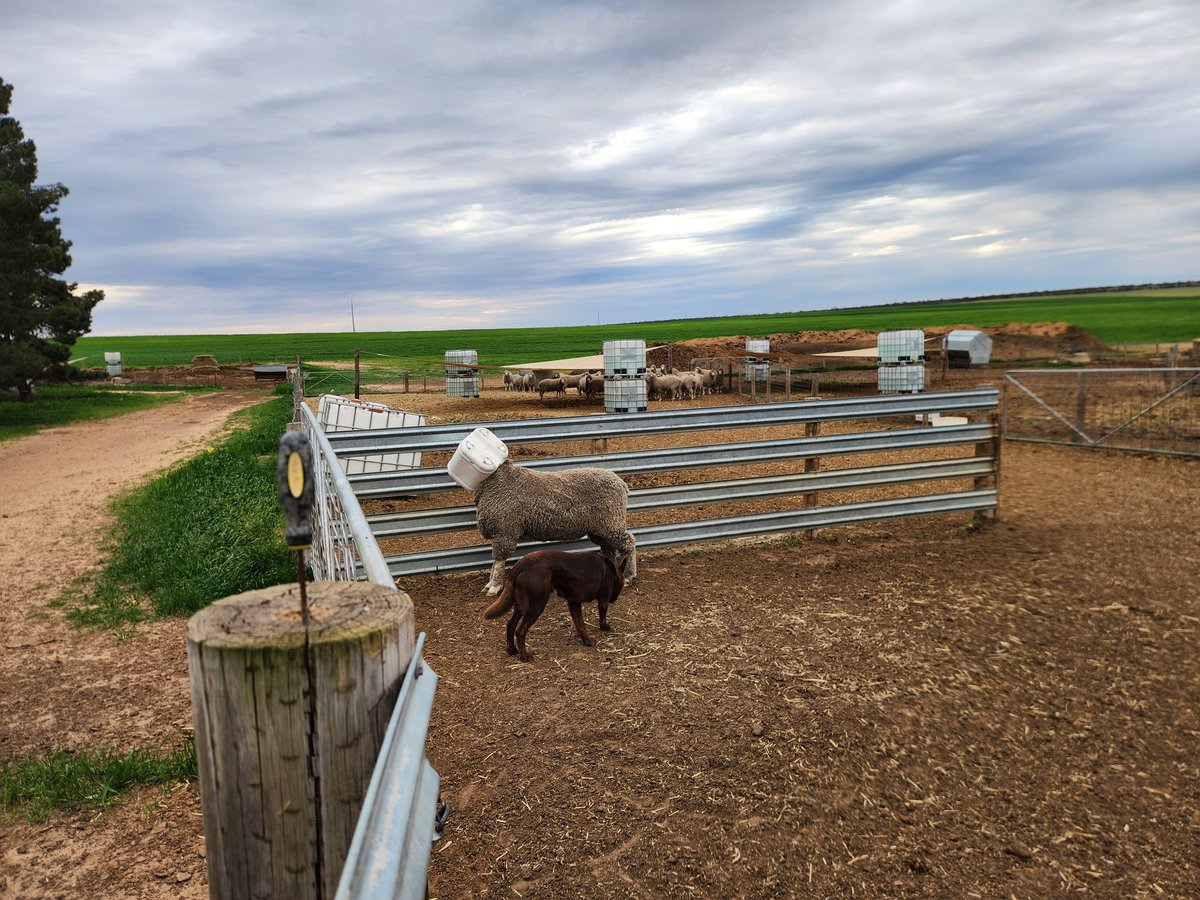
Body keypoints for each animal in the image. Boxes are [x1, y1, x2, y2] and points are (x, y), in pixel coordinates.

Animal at [473, 460, 637, 594]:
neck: (497, 483)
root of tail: (622, 483)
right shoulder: (499, 532)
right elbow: (495, 560)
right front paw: (490, 584)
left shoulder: (505, 530)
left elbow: (499, 560)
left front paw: (494, 586)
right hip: (601, 529)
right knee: (609, 548)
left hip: (612, 523)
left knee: (629, 542)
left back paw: (629, 575)